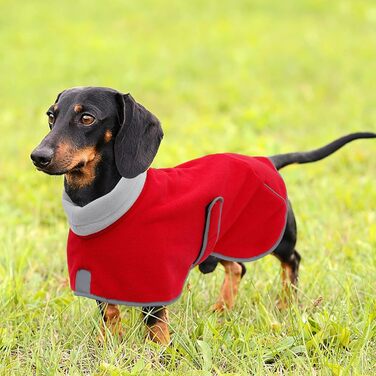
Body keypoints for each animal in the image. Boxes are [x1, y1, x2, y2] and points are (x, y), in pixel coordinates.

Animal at [30, 87, 376, 344]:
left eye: (87, 117)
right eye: (51, 116)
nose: (38, 156)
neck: (99, 202)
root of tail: (266, 160)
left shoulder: (159, 275)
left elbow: (154, 320)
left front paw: (160, 352)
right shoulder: (97, 272)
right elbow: (110, 313)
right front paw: (109, 344)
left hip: (275, 235)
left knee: (292, 260)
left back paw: (286, 303)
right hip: (217, 244)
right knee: (237, 268)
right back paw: (222, 309)